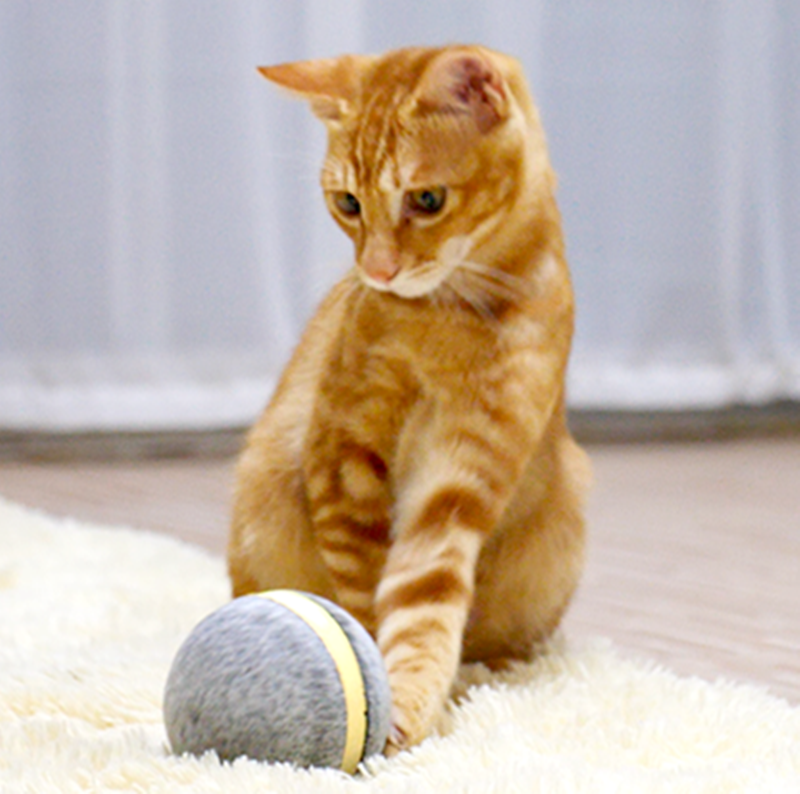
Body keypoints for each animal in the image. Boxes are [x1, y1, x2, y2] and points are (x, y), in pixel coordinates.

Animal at [228, 44, 592, 756]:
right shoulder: (340, 453)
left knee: (501, 643)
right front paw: (374, 685)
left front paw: (413, 697)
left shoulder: (459, 479)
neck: (455, 318)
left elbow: (425, 595)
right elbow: (368, 596)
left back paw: (488, 670)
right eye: (347, 202)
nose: (378, 271)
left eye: (427, 199)